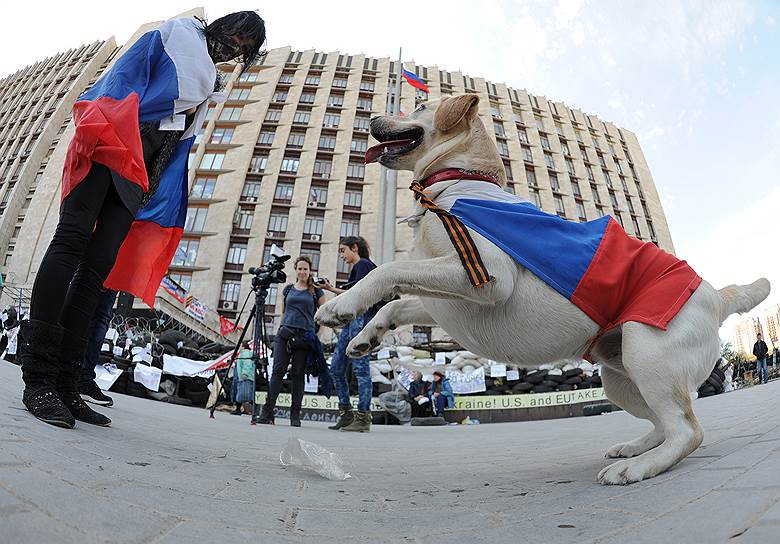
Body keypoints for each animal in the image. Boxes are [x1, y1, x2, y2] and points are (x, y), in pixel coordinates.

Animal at [316, 93, 768, 484]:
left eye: (420, 105)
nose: (372, 118)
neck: (455, 181)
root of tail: (715, 294)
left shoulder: (485, 274)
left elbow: (387, 269)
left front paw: (339, 306)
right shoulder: (449, 299)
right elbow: (394, 305)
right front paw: (364, 337)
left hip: (649, 352)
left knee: (688, 429)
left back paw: (637, 468)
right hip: (619, 376)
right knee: (665, 423)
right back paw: (635, 447)